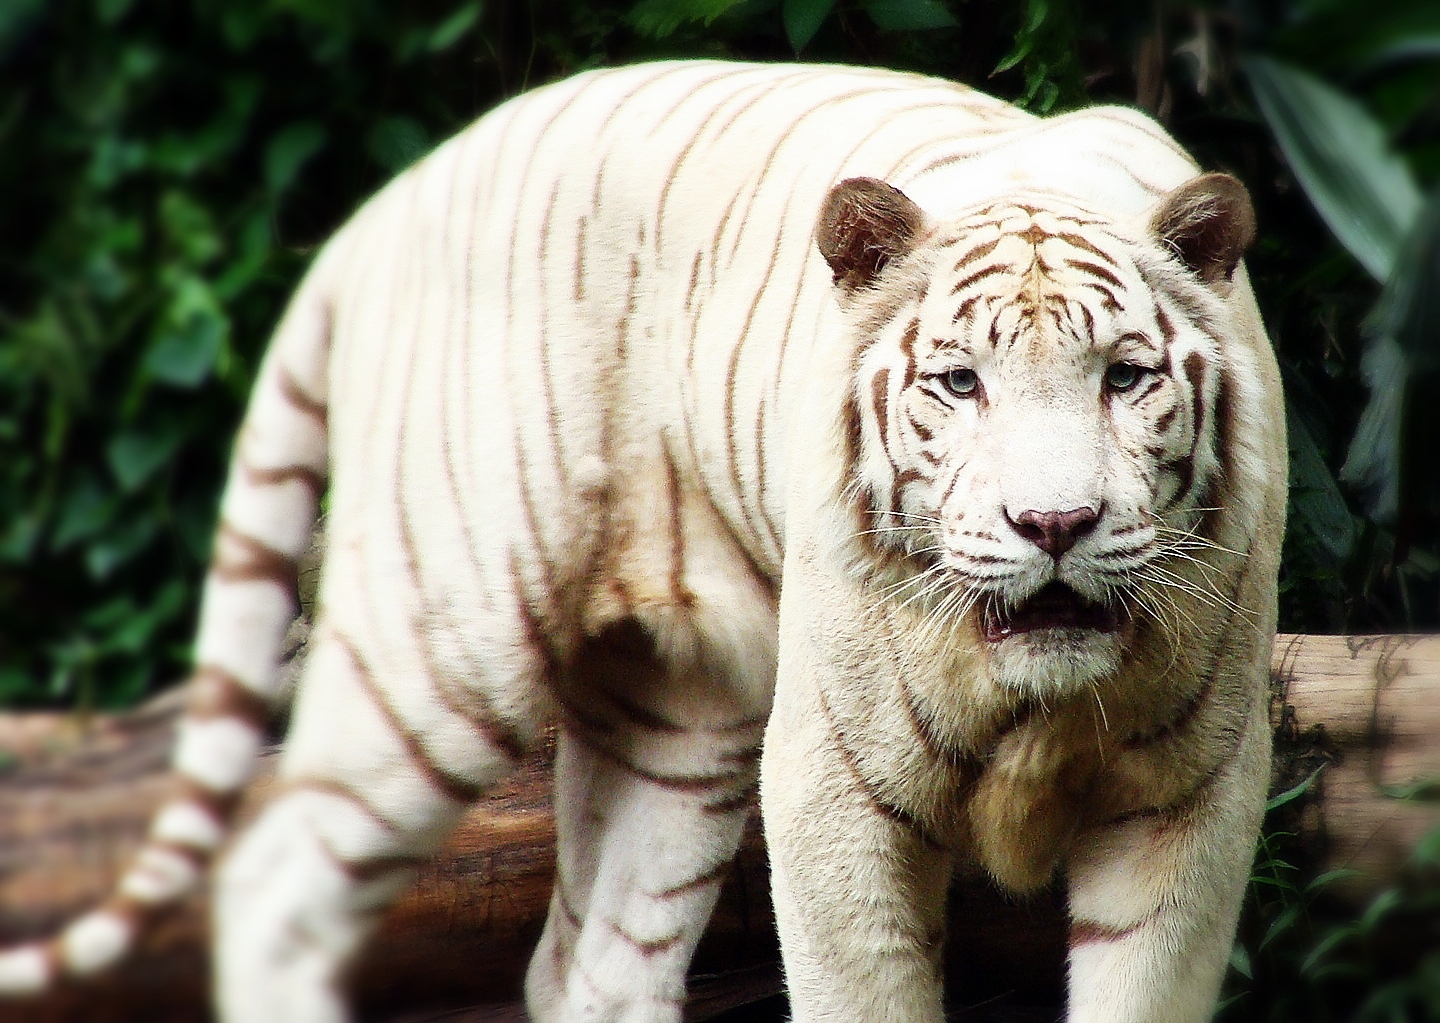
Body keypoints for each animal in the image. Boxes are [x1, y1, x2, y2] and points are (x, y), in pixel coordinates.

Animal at [0, 60, 1284, 1020]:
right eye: (961, 383)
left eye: (1126, 378)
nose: (1054, 525)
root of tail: (393, 201)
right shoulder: (832, 786)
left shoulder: (1191, 798)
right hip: (443, 646)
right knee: (277, 884)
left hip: (678, 718)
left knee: (589, 965)